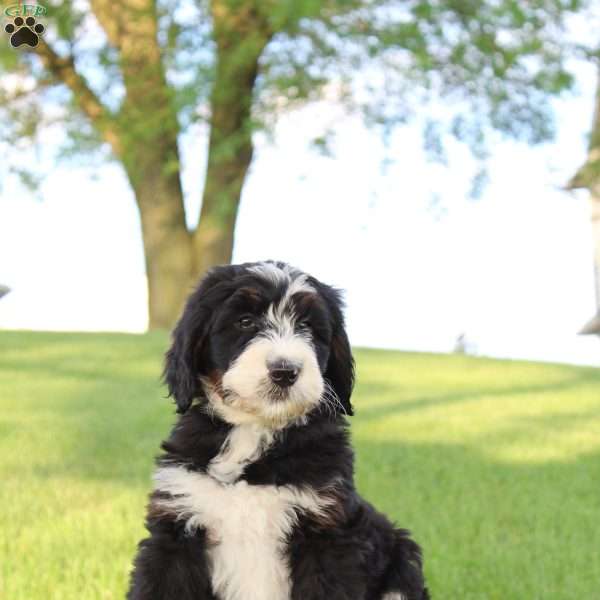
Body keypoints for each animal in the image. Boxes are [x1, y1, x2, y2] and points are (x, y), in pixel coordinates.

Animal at [126, 258, 428, 600]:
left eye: (306, 327)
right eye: (245, 322)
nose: (285, 371)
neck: (254, 429)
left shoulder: (328, 535)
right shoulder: (176, 526)